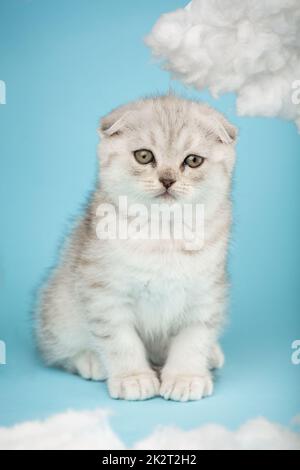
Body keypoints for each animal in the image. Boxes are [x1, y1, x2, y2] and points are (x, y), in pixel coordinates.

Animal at [35, 94, 237, 400]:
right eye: (144, 156)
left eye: (193, 160)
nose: (167, 179)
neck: (163, 235)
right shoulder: (104, 293)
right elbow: (120, 340)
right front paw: (134, 378)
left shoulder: (205, 293)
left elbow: (194, 338)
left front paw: (186, 376)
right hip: (59, 304)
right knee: (59, 348)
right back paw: (91, 360)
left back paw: (211, 355)